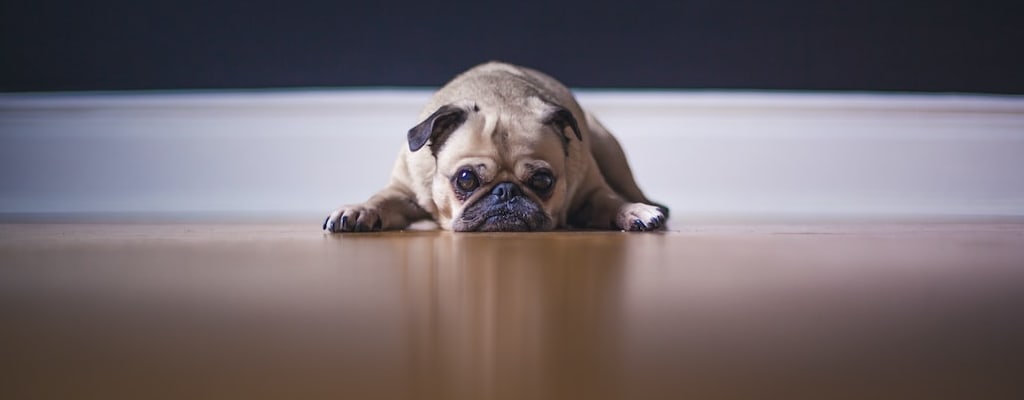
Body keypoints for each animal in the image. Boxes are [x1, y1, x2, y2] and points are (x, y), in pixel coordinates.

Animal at [323, 61, 667, 233]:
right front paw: (358, 210)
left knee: (628, 189)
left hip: (608, 149)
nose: (506, 191)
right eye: (466, 179)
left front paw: (633, 211)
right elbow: (380, 199)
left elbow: (611, 201)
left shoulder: (591, 192)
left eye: (543, 181)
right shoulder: (402, 192)